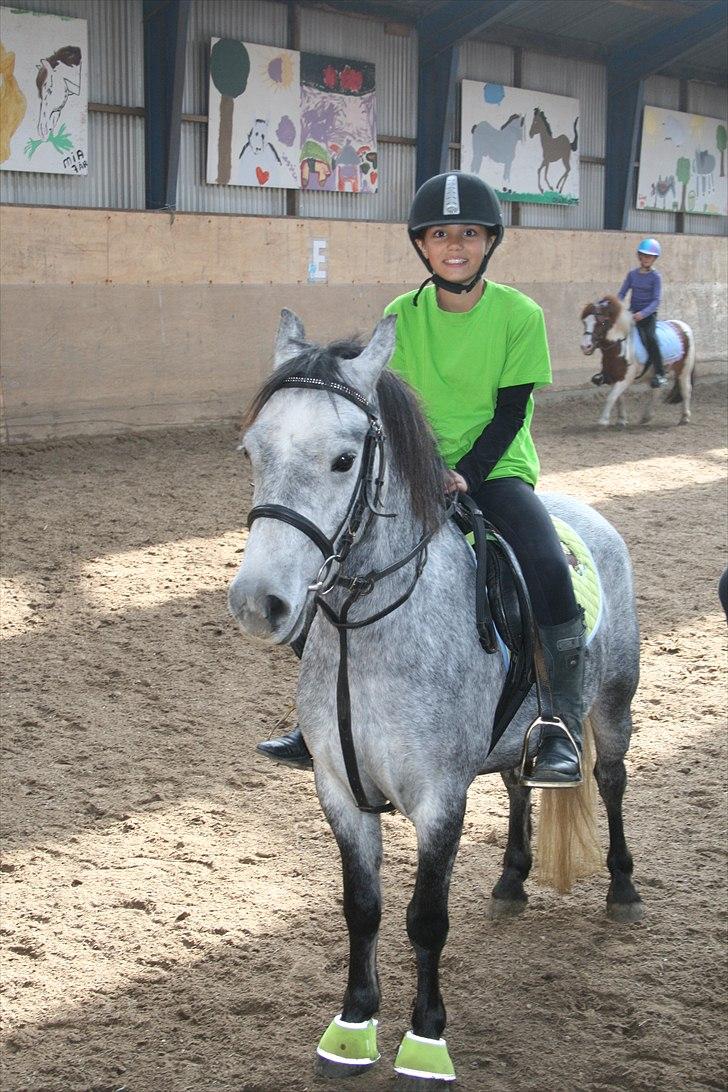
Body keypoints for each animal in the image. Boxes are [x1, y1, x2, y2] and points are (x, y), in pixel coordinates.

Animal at [227, 310, 643, 1084]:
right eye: (251, 451)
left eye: (344, 460)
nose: (257, 603)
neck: (374, 638)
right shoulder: (339, 790)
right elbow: (362, 907)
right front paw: (353, 1024)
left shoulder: (438, 796)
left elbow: (426, 918)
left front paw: (425, 1040)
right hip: (515, 738)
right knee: (518, 783)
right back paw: (511, 882)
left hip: (613, 706)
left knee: (610, 780)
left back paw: (624, 891)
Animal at [580, 295, 695, 428]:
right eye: (585, 322)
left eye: (602, 322)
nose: (585, 346)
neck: (619, 346)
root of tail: (682, 325)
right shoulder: (614, 377)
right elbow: (619, 398)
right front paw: (621, 420)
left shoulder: (626, 378)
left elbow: (611, 397)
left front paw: (603, 421)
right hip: (655, 372)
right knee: (656, 391)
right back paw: (646, 417)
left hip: (684, 370)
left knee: (685, 390)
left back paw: (684, 418)